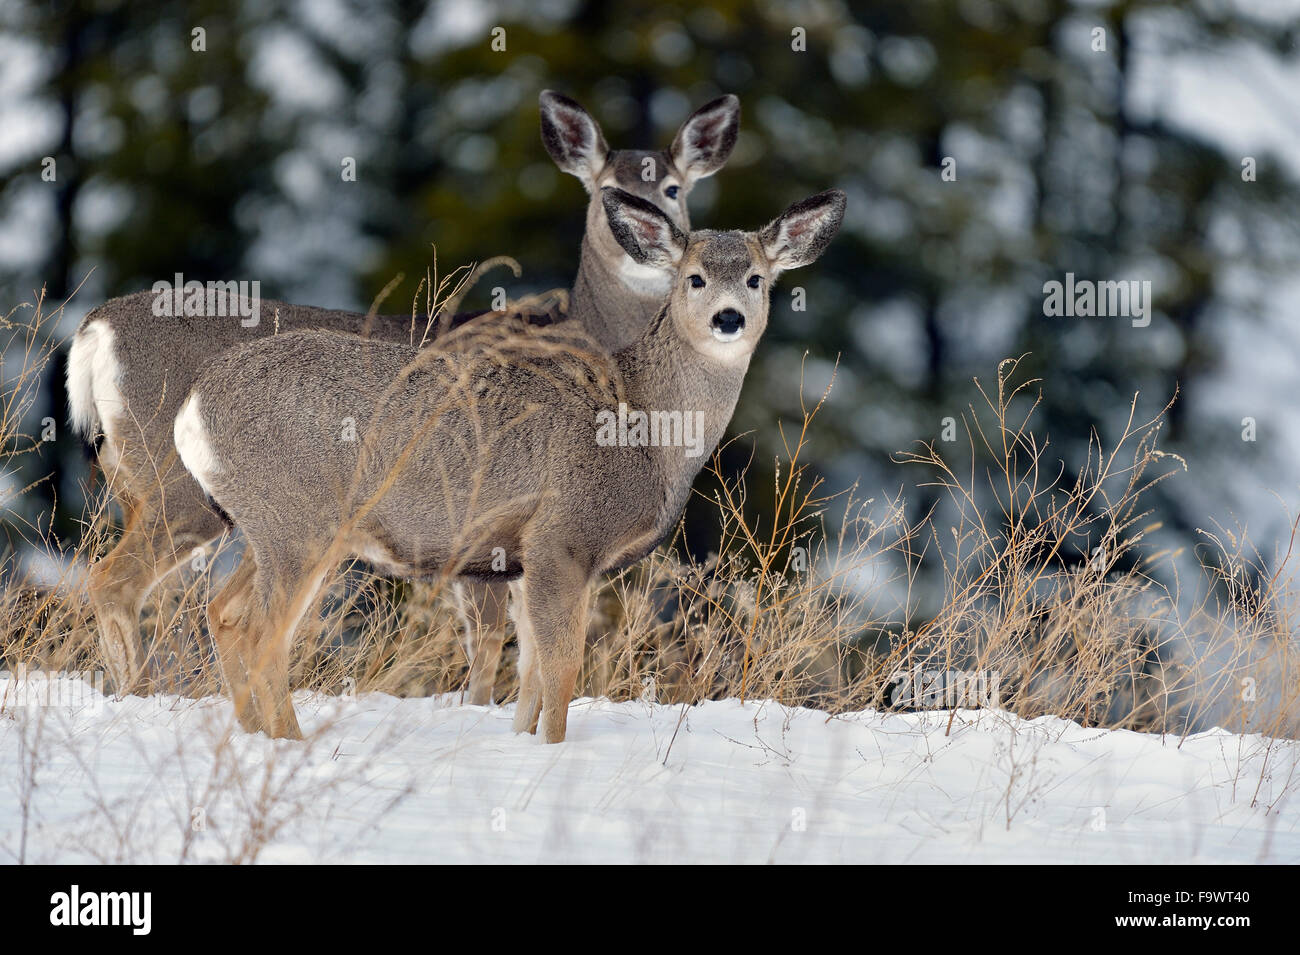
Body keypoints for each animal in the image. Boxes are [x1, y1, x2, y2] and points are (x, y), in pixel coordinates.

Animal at [68, 93, 743, 696]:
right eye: (603, 187)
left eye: (675, 187)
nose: (646, 237)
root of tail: (95, 329)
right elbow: (488, 643)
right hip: (179, 487)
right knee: (113, 581)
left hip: (143, 485)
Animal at [172, 184, 847, 738]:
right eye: (695, 278)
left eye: (756, 278)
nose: (729, 318)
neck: (647, 430)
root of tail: (194, 407)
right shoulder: (563, 536)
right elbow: (562, 669)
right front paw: (553, 751)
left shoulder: (523, 558)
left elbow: (529, 676)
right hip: (299, 522)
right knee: (262, 635)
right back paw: (289, 742)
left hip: (272, 526)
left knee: (223, 614)